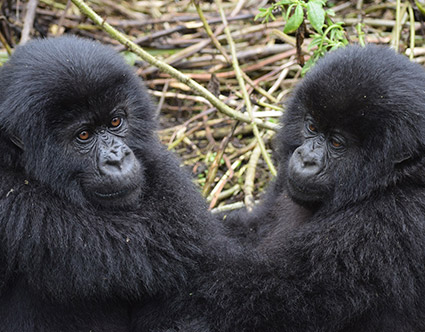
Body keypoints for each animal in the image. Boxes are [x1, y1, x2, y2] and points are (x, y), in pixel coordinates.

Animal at [137, 44, 425, 332]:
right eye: (311, 126)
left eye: (337, 143)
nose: (306, 159)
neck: (392, 181)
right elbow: (249, 230)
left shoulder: (383, 225)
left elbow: (244, 297)